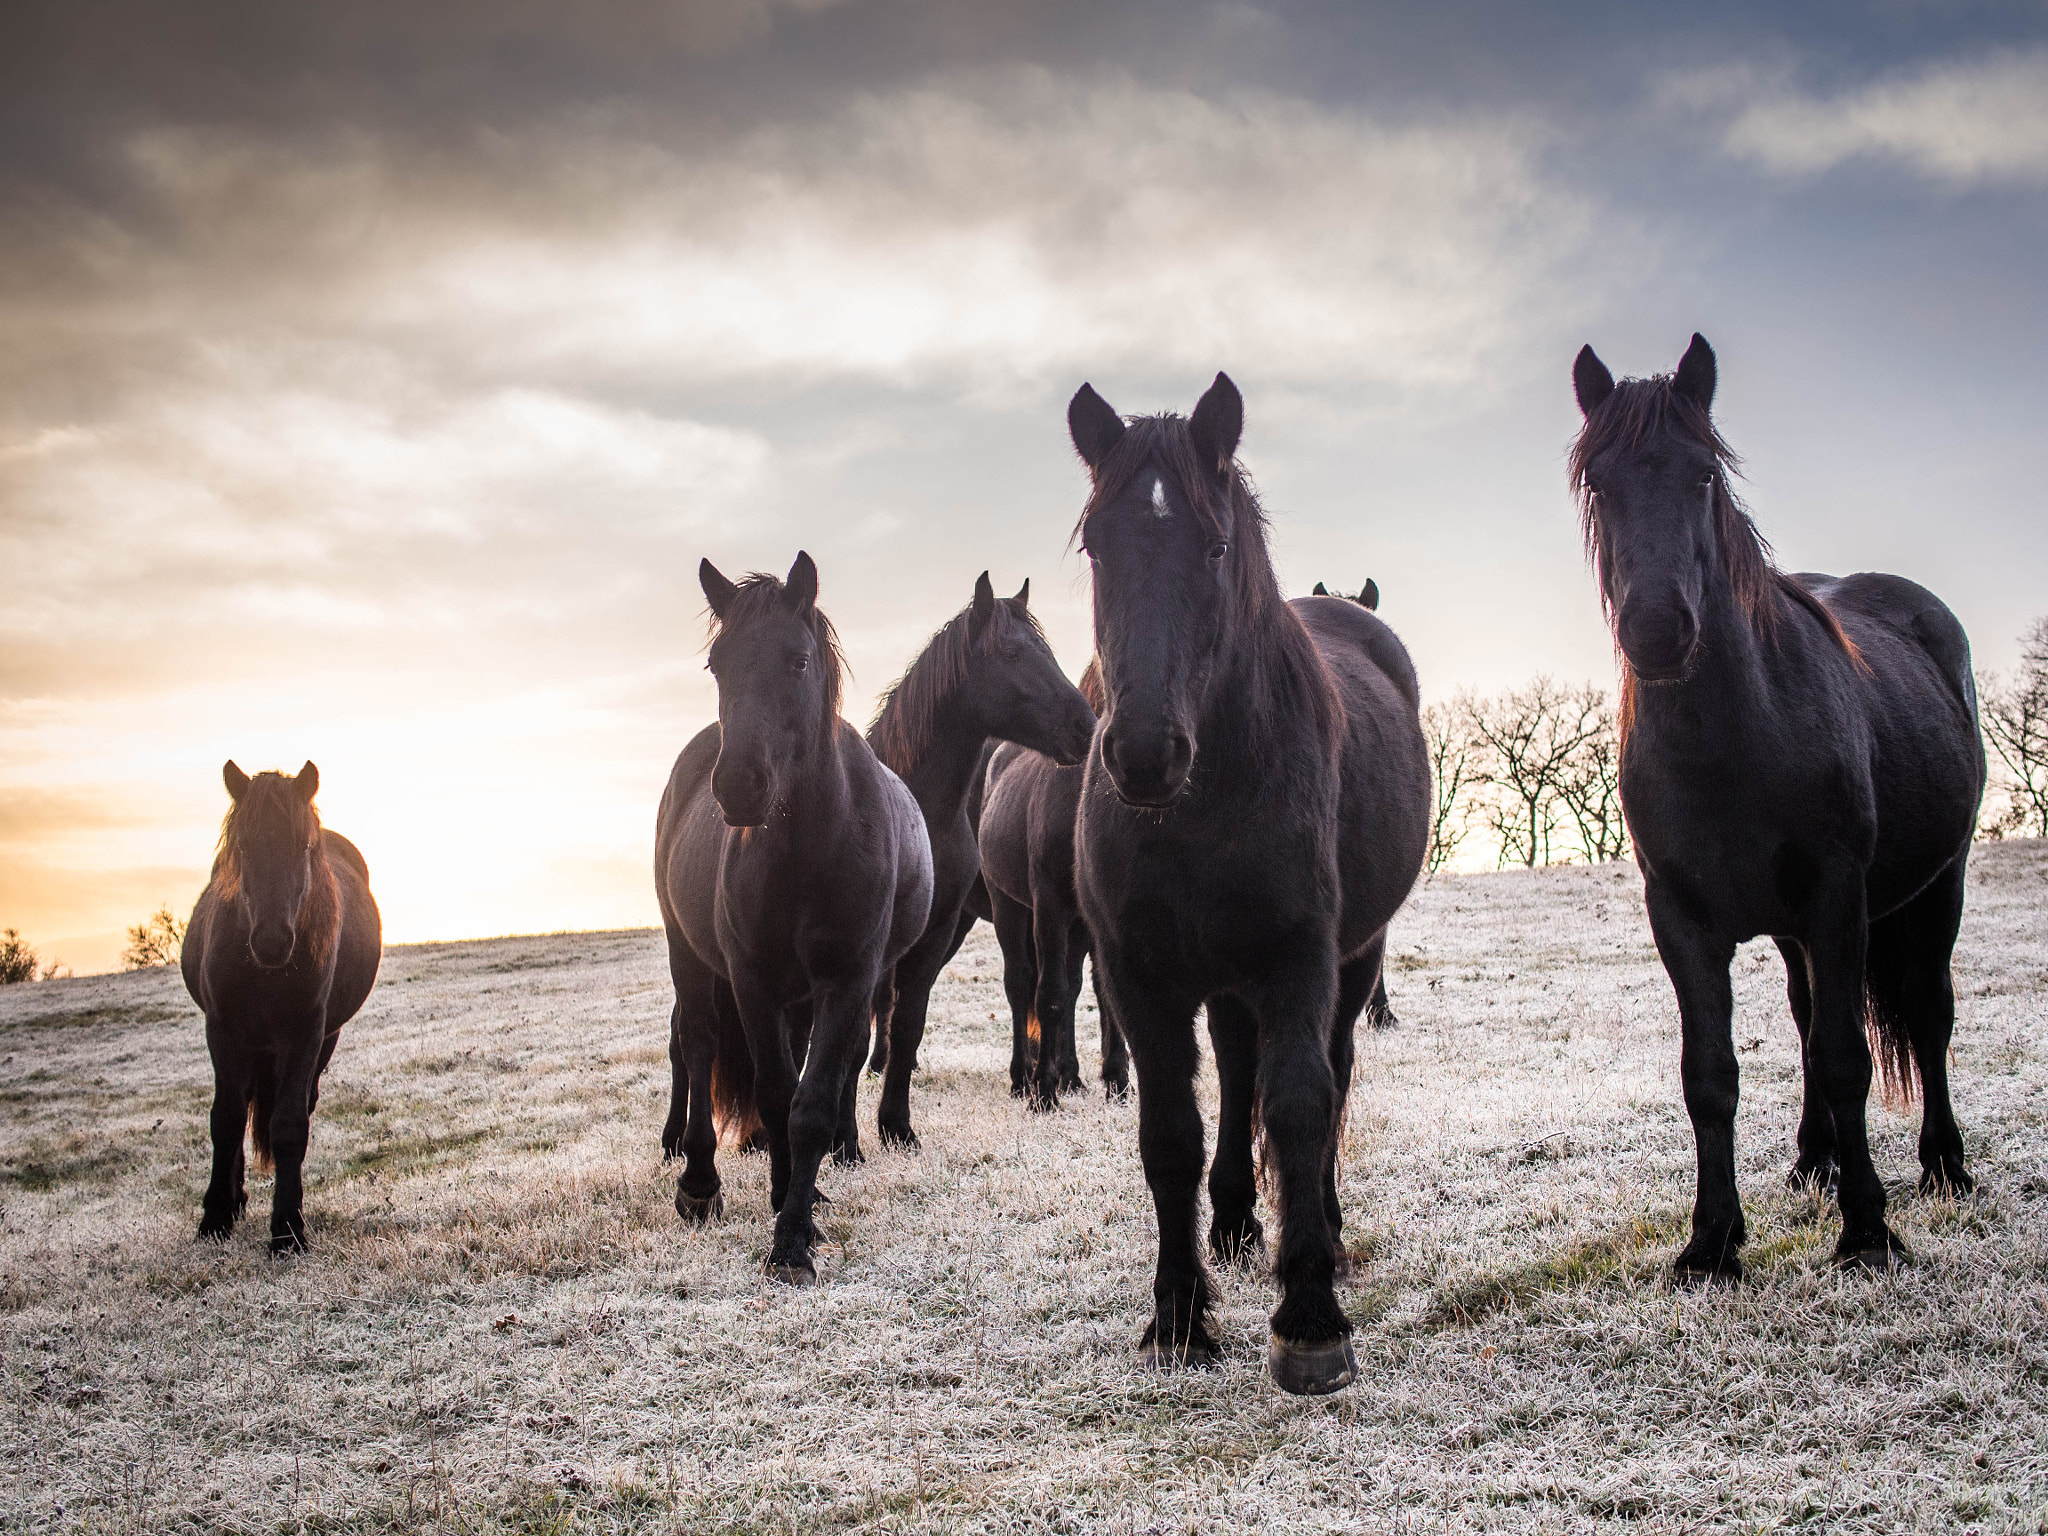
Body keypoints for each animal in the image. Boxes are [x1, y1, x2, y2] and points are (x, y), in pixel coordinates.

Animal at [182, 765, 382, 1253]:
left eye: (303, 847)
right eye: (241, 846)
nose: (272, 941)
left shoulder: (305, 1032)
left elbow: (289, 1124)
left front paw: (287, 1229)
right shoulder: (223, 1030)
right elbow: (226, 1119)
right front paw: (215, 1218)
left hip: (323, 1040)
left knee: (300, 1108)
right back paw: (235, 1199)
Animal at [843, 573, 1097, 1155]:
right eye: (1012, 653)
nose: (1086, 726)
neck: (924, 812)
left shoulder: (937, 930)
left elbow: (909, 1019)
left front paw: (896, 1127)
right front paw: (845, 1143)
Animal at [978, 663, 1138, 1105]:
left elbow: (1099, 990)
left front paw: (1116, 1079)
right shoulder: (1048, 906)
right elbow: (1049, 993)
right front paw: (1043, 1091)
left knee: (1075, 983)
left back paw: (1072, 1076)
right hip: (1009, 905)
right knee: (1021, 982)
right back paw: (1023, 1077)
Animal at [1064, 372, 1433, 1392]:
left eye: (1216, 544)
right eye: (1097, 544)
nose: (1144, 753)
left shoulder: (1298, 959)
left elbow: (1303, 1106)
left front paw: (1309, 1319)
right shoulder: (1141, 977)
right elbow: (1169, 1135)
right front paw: (1179, 1317)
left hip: (1350, 958)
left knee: (1326, 1079)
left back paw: (1323, 1232)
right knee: (1234, 1073)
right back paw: (1232, 1223)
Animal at [1564, 333, 1982, 1277]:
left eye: (1703, 475)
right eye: (1599, 483)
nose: (1657, 629)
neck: (1731, 741)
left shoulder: (1837, 896)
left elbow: (1846, 1056)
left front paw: (1867, 1232)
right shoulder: (1680, 917)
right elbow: (1711, 1074)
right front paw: (1712, 1242)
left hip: (1939, 883)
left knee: (1926, 1014)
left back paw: (1944, 1165)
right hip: (1797, 931)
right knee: (1802, 1018)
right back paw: (1811, 1161)